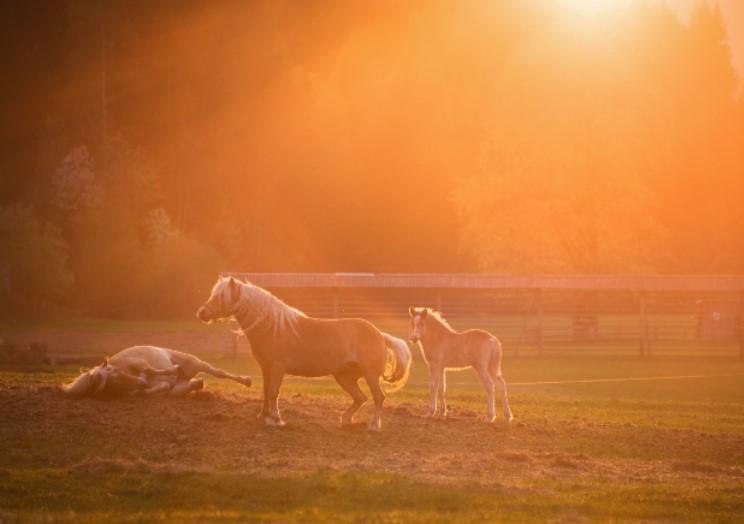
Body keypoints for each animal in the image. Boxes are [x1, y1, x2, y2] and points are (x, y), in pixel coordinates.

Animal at [60, 345, 252, 398]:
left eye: (116, 375)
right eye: (112, 386)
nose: (141, 383)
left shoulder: (141, 364)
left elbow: (152, 370)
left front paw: (173, 369)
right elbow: (157, 387)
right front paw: (142, 391)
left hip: (195, 363)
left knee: (219, 372)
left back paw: (246, 380)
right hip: (179, 388)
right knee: (184, 387)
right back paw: (197, 384)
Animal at [196, 276, 412, 431]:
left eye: (221, 297)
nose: (201, 313)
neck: (273, 326)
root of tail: (380, 334)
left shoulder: (277, 367)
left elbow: (273, 392)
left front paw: (275, 419)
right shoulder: (266, 368)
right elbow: (266, 391)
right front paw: (263, 416)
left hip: (370, 375)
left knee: (378, 398)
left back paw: (373, 426)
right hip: (344, 377)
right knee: (361, 398)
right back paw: (345, 420)